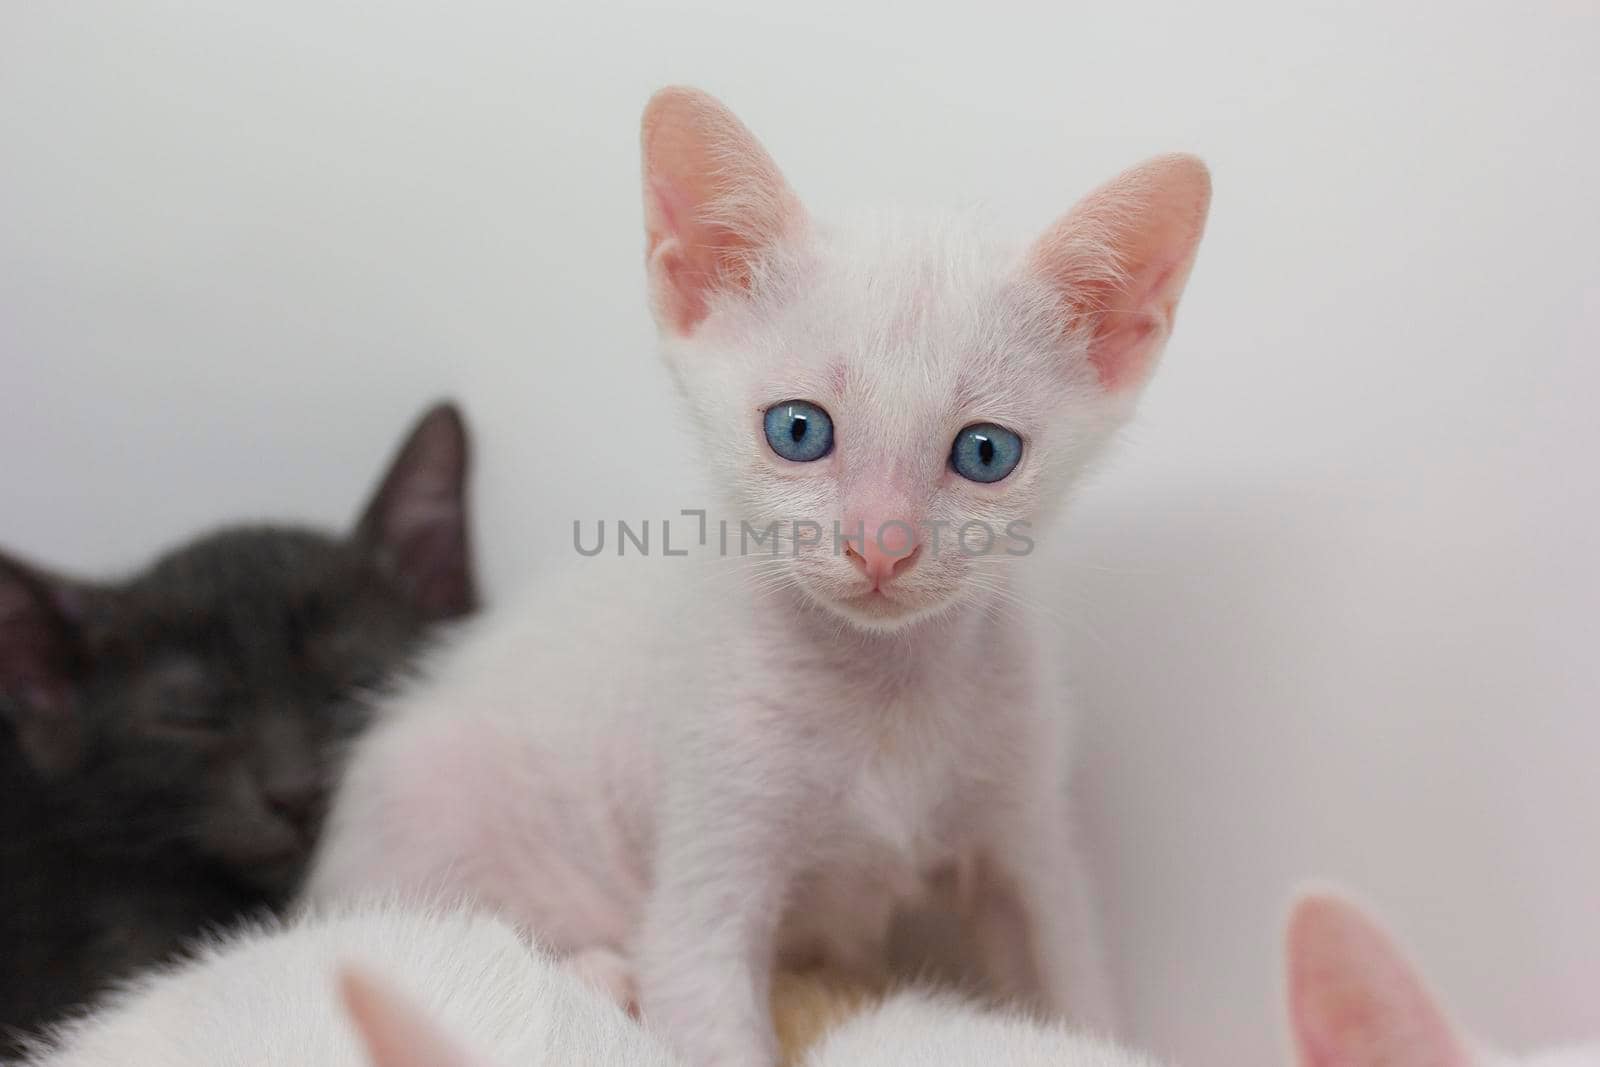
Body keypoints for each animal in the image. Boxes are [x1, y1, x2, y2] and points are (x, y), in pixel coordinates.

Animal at [302, 85, 1209, 1067]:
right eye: (799, 430)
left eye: (985, 452)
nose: (880, 545)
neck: (884, 694)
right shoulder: (705, 865)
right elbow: (700, 993)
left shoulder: (1028, 840)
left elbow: (1077, 997)